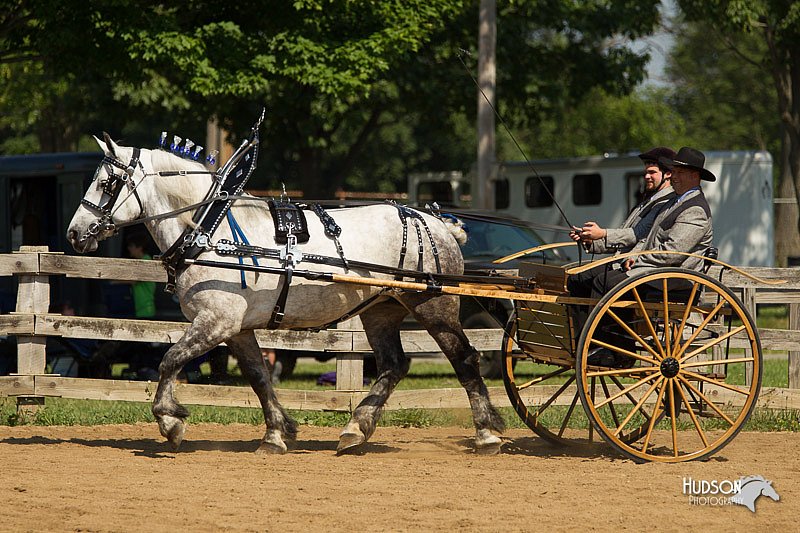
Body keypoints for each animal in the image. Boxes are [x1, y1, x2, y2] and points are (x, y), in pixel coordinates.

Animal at [70, 137, 506, 454]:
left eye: (108, 183)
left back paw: (486, 434)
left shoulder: (215, 322)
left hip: (435, 306)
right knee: (393, 366)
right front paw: (277, 433)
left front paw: (170, 421)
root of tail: (439, 223)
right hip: (381, 311)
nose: (74, 233)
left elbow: (169, 360)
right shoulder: (237, 329)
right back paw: (355, 428)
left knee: (465, 359)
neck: (210, 231)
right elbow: (259, 377)